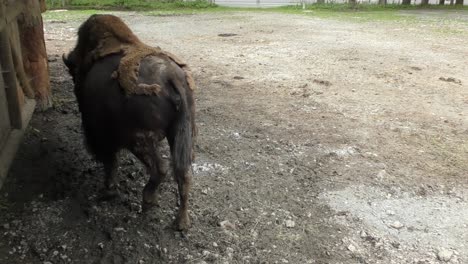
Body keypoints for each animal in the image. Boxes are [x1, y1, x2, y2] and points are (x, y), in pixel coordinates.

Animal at [62, 14, 196, 230]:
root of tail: (171, 77)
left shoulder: (101, 136)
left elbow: (110, 162)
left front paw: (108, 191)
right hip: (181, 133)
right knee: (183, 173)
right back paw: (181, 222)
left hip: (139, 140)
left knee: (160, 168)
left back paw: (148, 201)